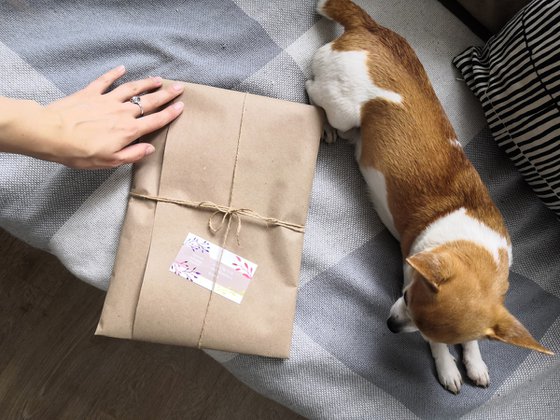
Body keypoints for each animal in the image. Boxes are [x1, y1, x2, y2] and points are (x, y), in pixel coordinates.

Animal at [306, 0, 552, 394]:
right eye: (405, 296)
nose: (390, 325)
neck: (470, 244)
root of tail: (370, 28)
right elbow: (441, 351)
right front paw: (449, 367)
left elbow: (473, 338)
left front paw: (474, 361)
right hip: (341, 107)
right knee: (312, 89)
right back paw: (326, 125)